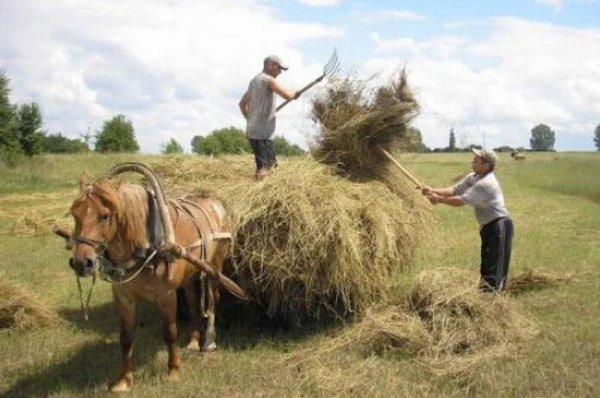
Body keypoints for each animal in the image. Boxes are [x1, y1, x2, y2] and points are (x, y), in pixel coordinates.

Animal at [67, 174, 232, 392]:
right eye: (74, 214)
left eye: (105, 216)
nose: (80, 262)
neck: (147, 248)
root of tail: (215, 201)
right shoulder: (124, 297)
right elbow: (126, 337)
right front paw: (123, 380)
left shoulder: (166, 295)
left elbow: (170, 332)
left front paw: (173, 371)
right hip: (189, 276)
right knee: (193, 303)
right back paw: (194, 341)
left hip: (214, 267)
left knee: (213, 300)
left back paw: (209, 342)